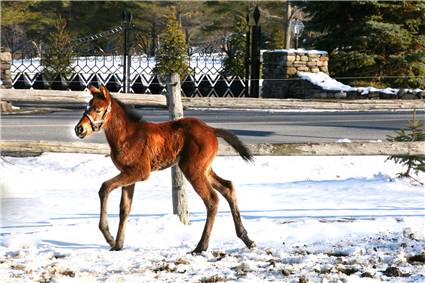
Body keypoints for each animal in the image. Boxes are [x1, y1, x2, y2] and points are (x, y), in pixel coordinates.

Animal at [74, 85, 253, 254]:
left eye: (98, 109)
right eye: (87, 107)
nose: (79, 129)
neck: (126, 136)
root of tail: (211, 130)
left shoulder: (140, 171)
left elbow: (104, 188)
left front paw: (109, 237)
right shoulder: (128, 174)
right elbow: (124, 208)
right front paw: (118, 245)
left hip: (192, 169)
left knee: (212, 199)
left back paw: (201, 246)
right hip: (204, 169)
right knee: (227, 187)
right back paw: (246, 238)